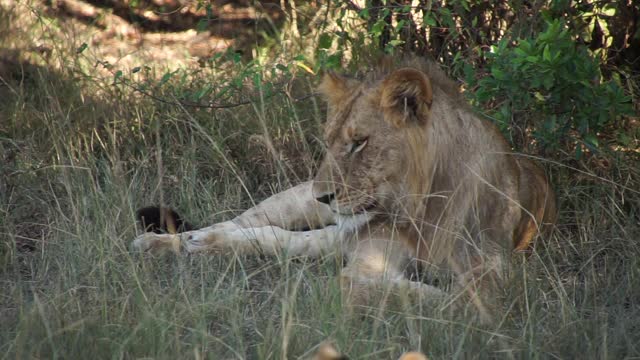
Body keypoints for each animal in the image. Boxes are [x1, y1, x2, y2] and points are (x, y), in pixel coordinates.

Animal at [134, 56, 556, 320]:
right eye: (330, 141)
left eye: (359, 142)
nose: (323, 195)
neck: (423, 206)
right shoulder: (368, 257)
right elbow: (373, 284)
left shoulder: (491, 273)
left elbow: (455, 300)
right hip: (293, 203)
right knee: (237, 225)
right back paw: (169, 243)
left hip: (330, 234)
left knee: (279, 240)